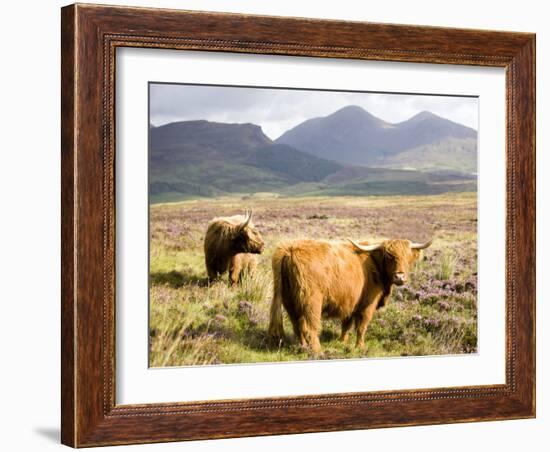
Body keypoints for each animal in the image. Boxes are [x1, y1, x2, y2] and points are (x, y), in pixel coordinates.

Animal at [270, 237, 434, 354]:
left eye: (408, 257)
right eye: (389, 256)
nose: (400, 276)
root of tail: (289, 249)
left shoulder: (350, 303)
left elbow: (346, 325)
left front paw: (342, 341)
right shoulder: (367, 305)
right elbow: (362, 327)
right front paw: (360, 346)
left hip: (290, 302)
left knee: (297, 326)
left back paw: (303, 348)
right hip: (311, 302)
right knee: (310, 328)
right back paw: (318, 351)